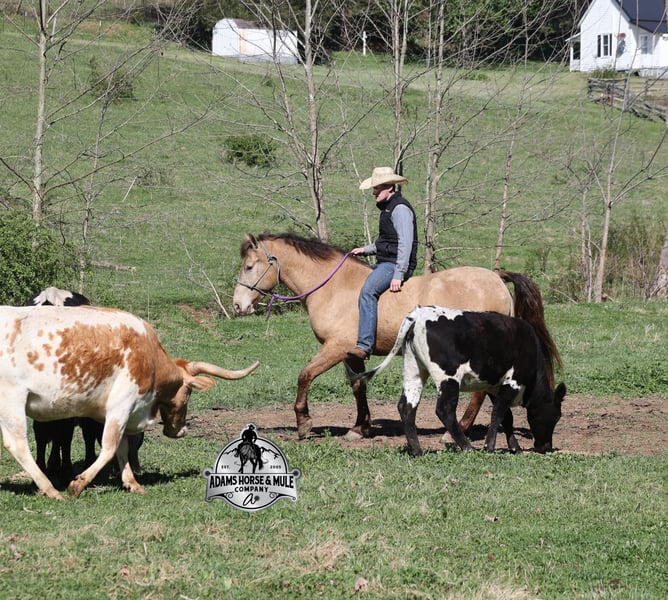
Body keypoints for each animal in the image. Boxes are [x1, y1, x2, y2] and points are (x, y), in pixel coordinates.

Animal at [0, 305, 259, 499]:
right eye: (188, 393)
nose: (181, 430)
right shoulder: (121, 405)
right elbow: (111, 446)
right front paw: (79, 483)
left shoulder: (124, 412)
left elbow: (123, 447)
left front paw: (131, 482)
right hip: (12, 399)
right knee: (19, 444)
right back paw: (51, 489)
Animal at [233, 232, 557, 440]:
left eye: (249, 266)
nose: (237, 305)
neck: (334, 288)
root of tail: (496, 278)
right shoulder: (352, 353)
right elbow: (358, 387)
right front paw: (359, 428)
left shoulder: (335, 348)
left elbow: (305, 376)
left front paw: (303, 423)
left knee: (478, 393)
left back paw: (456, 433)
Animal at [348, 306, 566, 457]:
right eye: (556, 416)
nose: (545, 447)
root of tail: (418, 315)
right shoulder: (512, 383)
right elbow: (498, 414)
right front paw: (490, 447)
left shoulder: (494, 387)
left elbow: (507, 418)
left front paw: (515, 448)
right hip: (448, 379)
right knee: (444, 410)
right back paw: (467, 447)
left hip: (414, 370)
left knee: (406, 407)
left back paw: (417, 450)